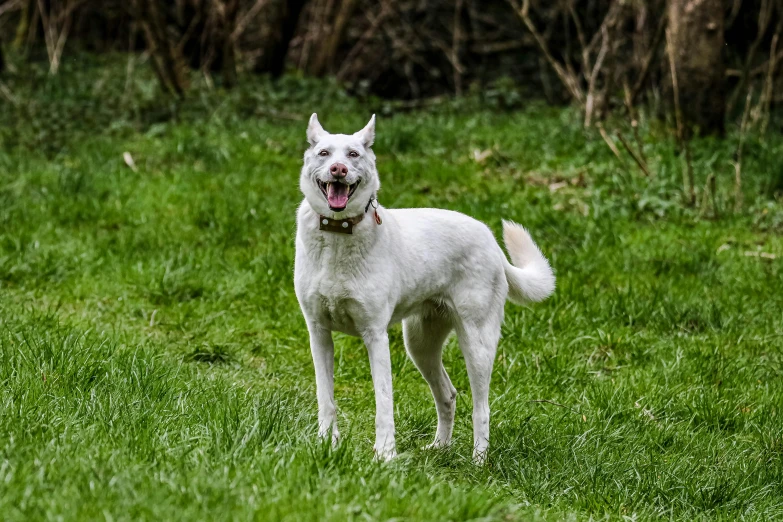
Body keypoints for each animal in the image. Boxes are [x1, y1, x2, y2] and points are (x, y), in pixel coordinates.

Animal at [294, 112, 556, 460]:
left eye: (353, 154)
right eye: (324, 153)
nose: (339, 170)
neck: (339, 232)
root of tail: (491, 241)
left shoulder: (375, 336)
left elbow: (383, 403)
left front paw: (385, 456)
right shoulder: (318, 333)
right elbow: (326, 399)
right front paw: (327, 446)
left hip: (477, 345)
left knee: (481, 408)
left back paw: (478, 461)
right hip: (420, 344)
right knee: (448, 394)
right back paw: (440, 447)